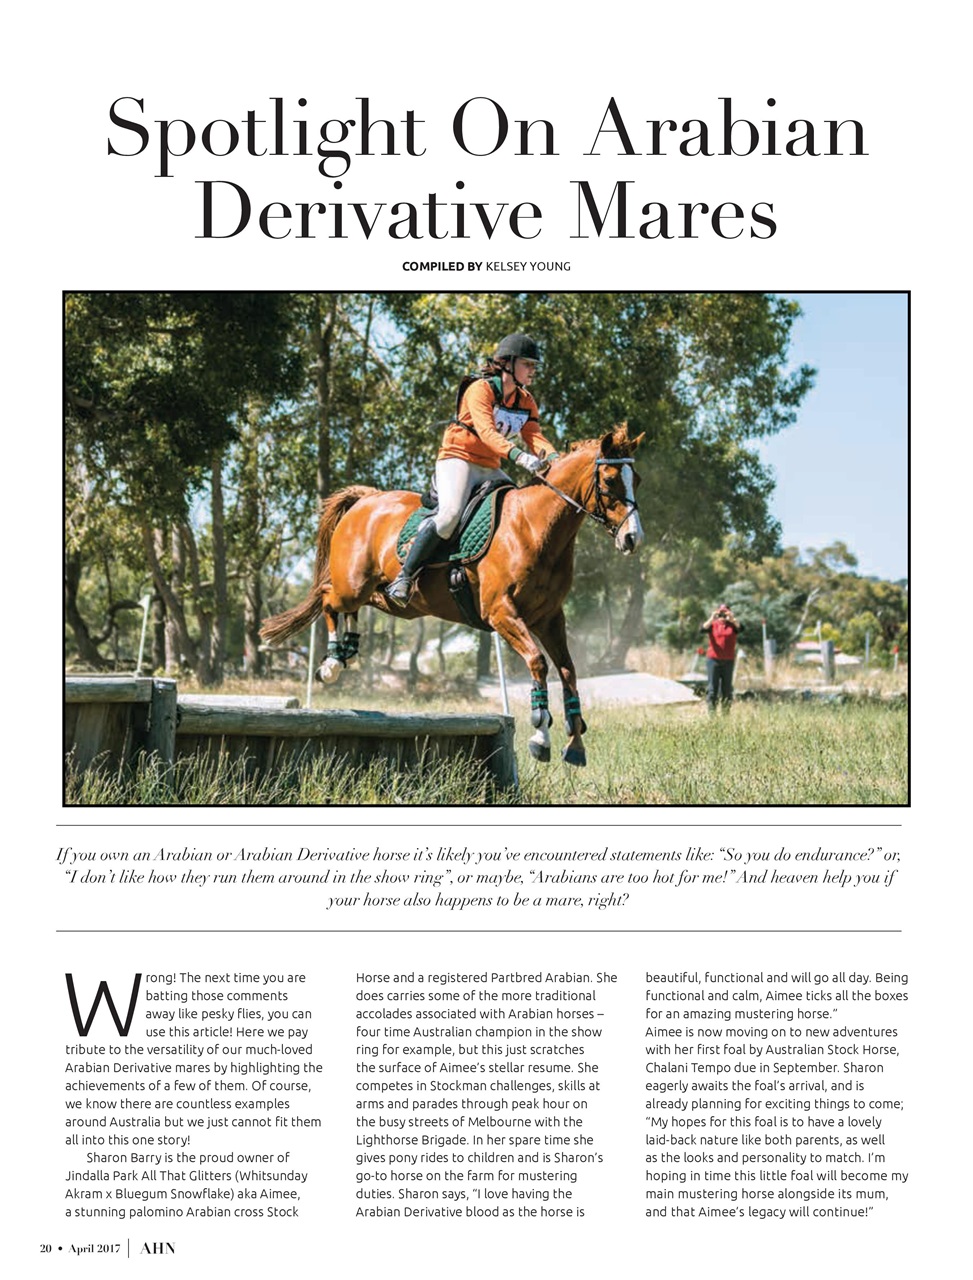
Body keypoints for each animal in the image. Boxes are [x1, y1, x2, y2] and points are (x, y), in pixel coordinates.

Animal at [260, 425, 644, 766]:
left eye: (636, 480)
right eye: (610, 480)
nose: (632, 539)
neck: (535, 527)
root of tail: (367, 499)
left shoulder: (549, 618)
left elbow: (568, 672)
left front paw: (575, 744)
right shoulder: (501, 613)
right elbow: (538, 663)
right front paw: (540, 735)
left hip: (387, 598)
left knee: (356, 605)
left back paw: (347, 649)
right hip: (351, 584)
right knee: (327, 597)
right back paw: (331, 664)